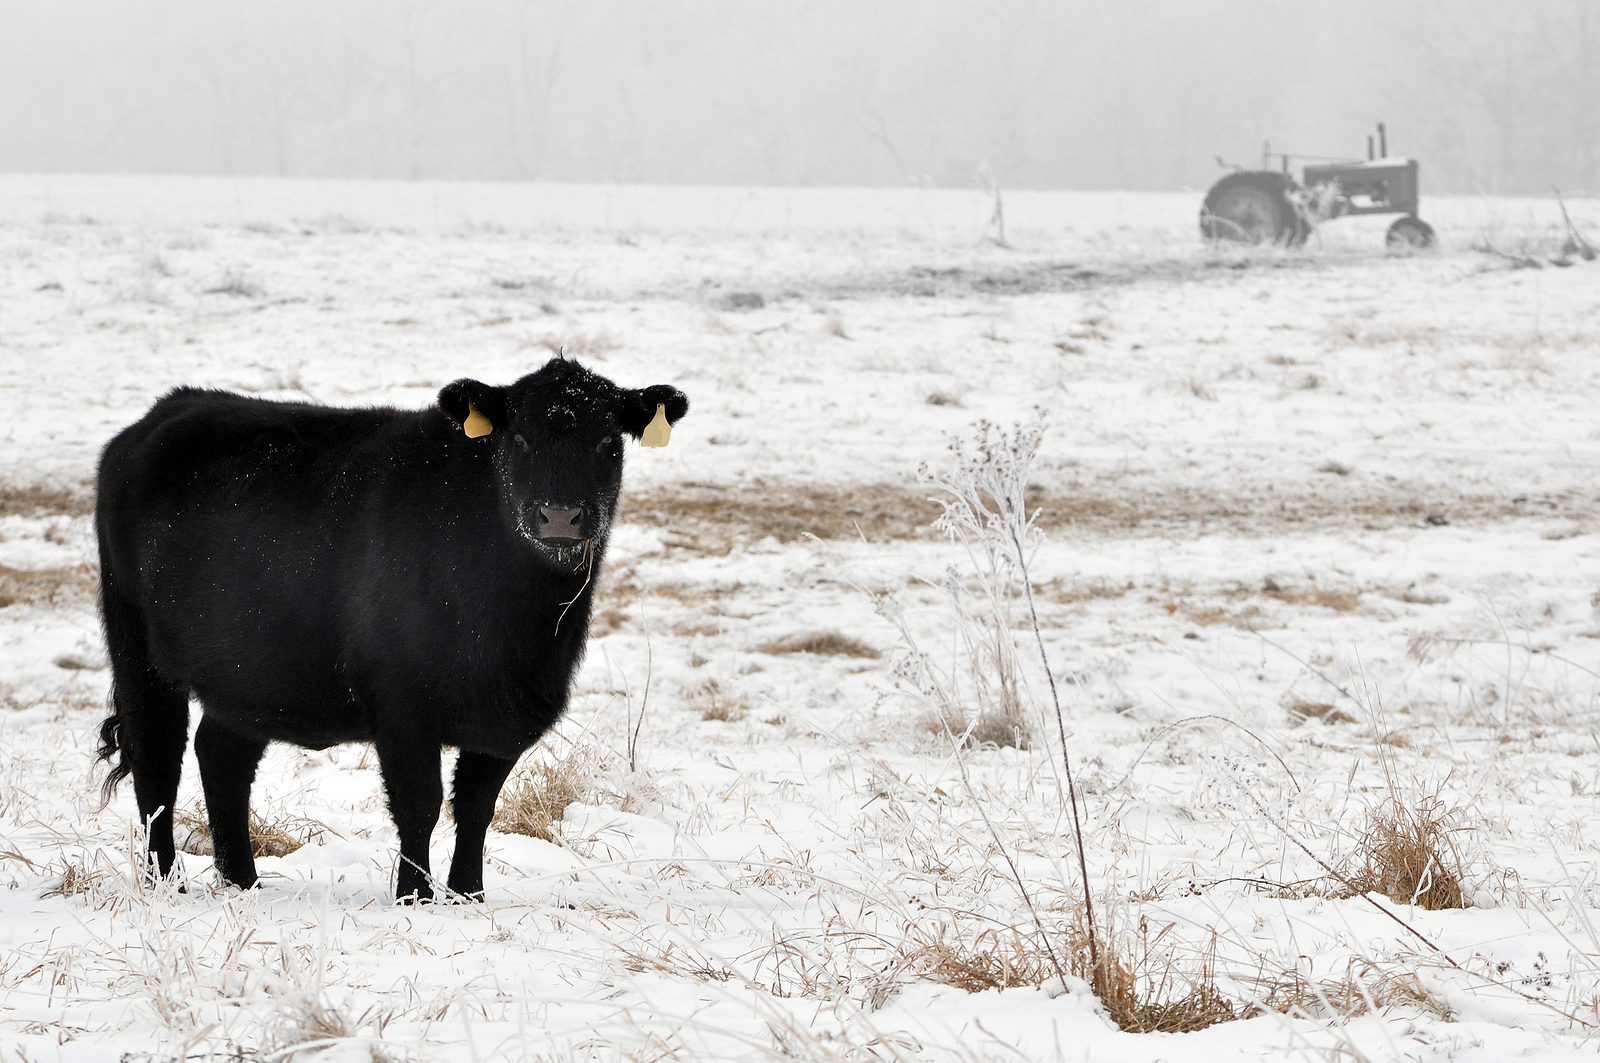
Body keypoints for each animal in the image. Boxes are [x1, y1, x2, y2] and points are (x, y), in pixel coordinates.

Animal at [95, 361, 688, 902]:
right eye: (518, 438)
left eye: (608, 441)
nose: (559, 516)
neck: (519, 631)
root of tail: (169, 409)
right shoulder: (403, 704)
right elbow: (419, 804)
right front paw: (415, 898)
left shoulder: (508, 714)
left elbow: (477, 807)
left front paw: (469, 896)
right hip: (136, 648)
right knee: (157, 763)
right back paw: (167, 885)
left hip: (251, 671)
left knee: (222, 756)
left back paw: (243, 883)